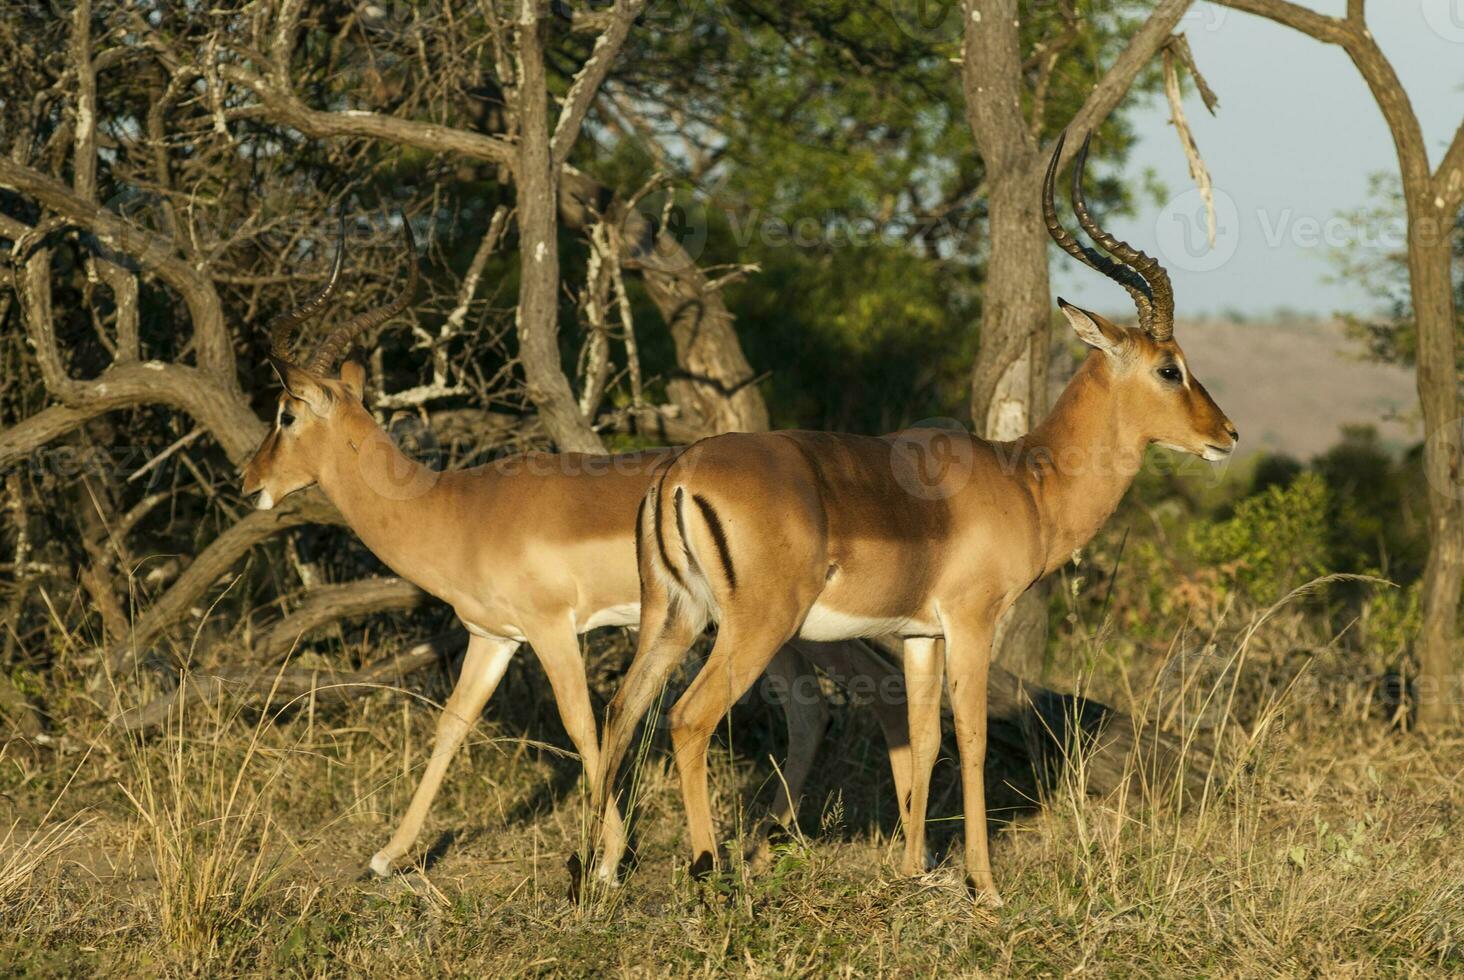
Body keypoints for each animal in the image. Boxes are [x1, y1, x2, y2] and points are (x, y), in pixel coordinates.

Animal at [240, 210, 907, 884]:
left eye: (285, 414)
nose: (250, 481)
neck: (454, 509)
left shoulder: (552, 629)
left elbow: (582, 726)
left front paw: (609, 861)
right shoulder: (493, 638)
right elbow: (452, 726)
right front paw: (385, 856)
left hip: (794, 627)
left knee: (867, 694)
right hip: (775, 635)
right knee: (815, 712)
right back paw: (768, 847)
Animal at [594, 134, 1235, 908]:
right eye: (1171, 369)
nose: (1227, 434)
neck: (1027, 481)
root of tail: (680, 472)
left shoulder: (918, 635)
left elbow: (923, 740)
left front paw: (912, 871)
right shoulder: (972, 622)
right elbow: (974, 740)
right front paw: (985, 886)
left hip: (673, 616)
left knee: (620, 711)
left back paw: (594, 873)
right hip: (754, 627)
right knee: (689, 718)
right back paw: (707, 869)